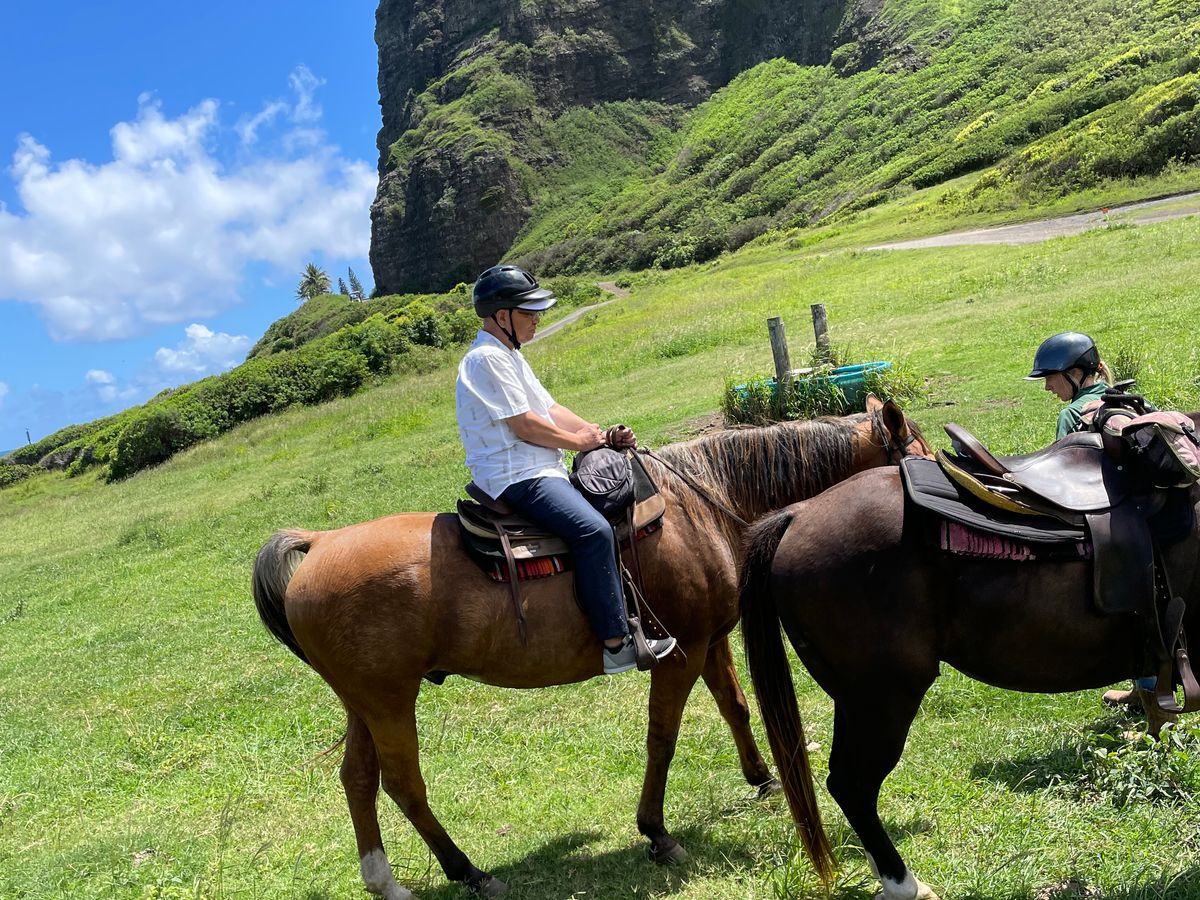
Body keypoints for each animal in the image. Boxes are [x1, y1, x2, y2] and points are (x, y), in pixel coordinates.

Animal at [251, 396, 931, 900]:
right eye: (920, 456)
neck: (701, 505)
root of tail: (319, 542)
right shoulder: (680, 652)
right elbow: (663, 735)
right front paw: (657, 833)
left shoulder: (710, 640)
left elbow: (735, 707)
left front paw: (760, 779)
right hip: (390, 700)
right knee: (401, 782)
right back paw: (468, 871)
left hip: (364, 701)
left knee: (357, 778)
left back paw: (386, 881)